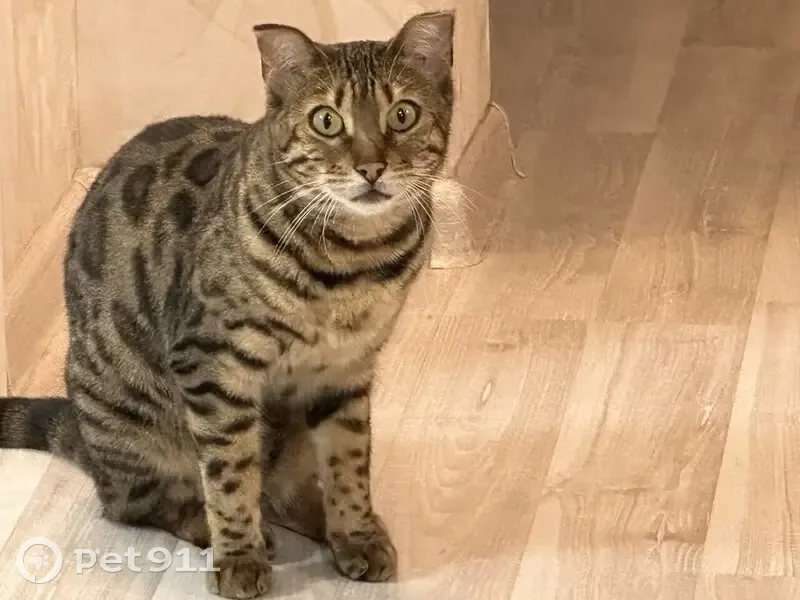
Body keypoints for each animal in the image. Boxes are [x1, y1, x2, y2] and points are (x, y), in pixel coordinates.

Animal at [0, 10, 454, 599]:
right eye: (327, 121)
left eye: (403, 114)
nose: (371, 168)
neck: (352, 263)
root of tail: (81, 429)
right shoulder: (213, 363)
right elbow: (230, 473)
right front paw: (239, 556)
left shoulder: (347, 369)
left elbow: (349, 461)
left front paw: (354, 532)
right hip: (127, 409)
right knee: (135, 502)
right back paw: (212, 525)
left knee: (281, 487)